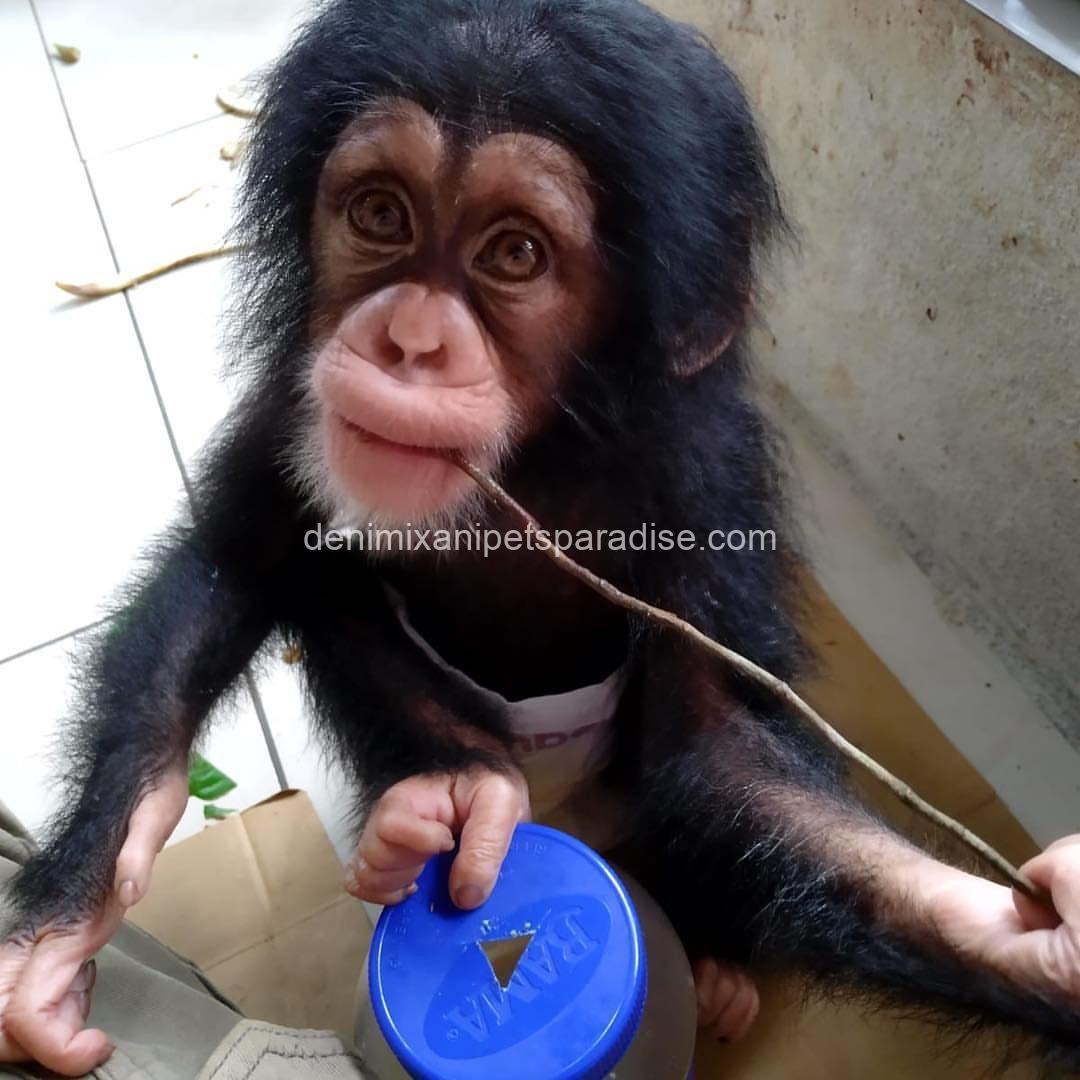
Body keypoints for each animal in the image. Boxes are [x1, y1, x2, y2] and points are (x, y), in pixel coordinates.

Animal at [2, 0, 1079, 1074]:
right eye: (381, 214)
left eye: (514, 254)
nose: (408, 338)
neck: (533, 452)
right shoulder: (287, 402)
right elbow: (237, 563)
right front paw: (72, 916)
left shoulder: (708, 480)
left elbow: (722, 750)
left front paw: (1034, 944)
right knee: (338, 596)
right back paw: (446, 800)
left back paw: (710, 963)